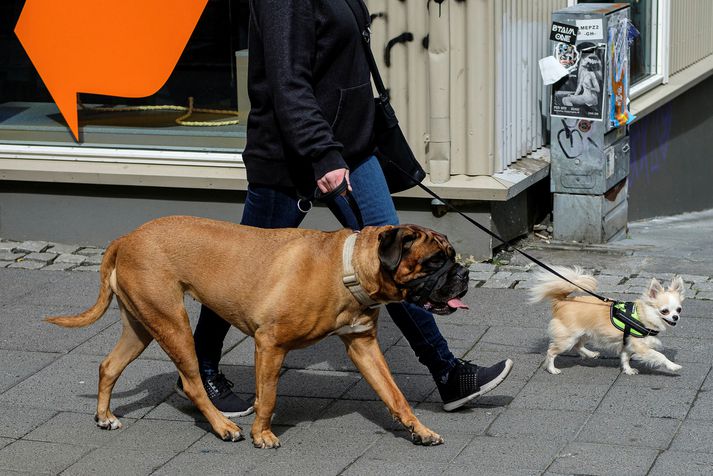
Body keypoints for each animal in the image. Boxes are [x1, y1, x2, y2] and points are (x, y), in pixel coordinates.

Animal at [47, 216, 470, 446]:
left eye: (453, 257)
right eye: (434, 262)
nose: (464, 275)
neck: (348, 268)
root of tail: (126, 238)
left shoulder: (363, 346)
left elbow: (395, 395)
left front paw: (420, 430)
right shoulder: (270, 344)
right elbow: (267, 397)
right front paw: (261, 434)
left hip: (142, 325)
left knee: (109, 366)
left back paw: (104, 416)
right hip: (173, 326)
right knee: (193, 384)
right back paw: (223, 426)